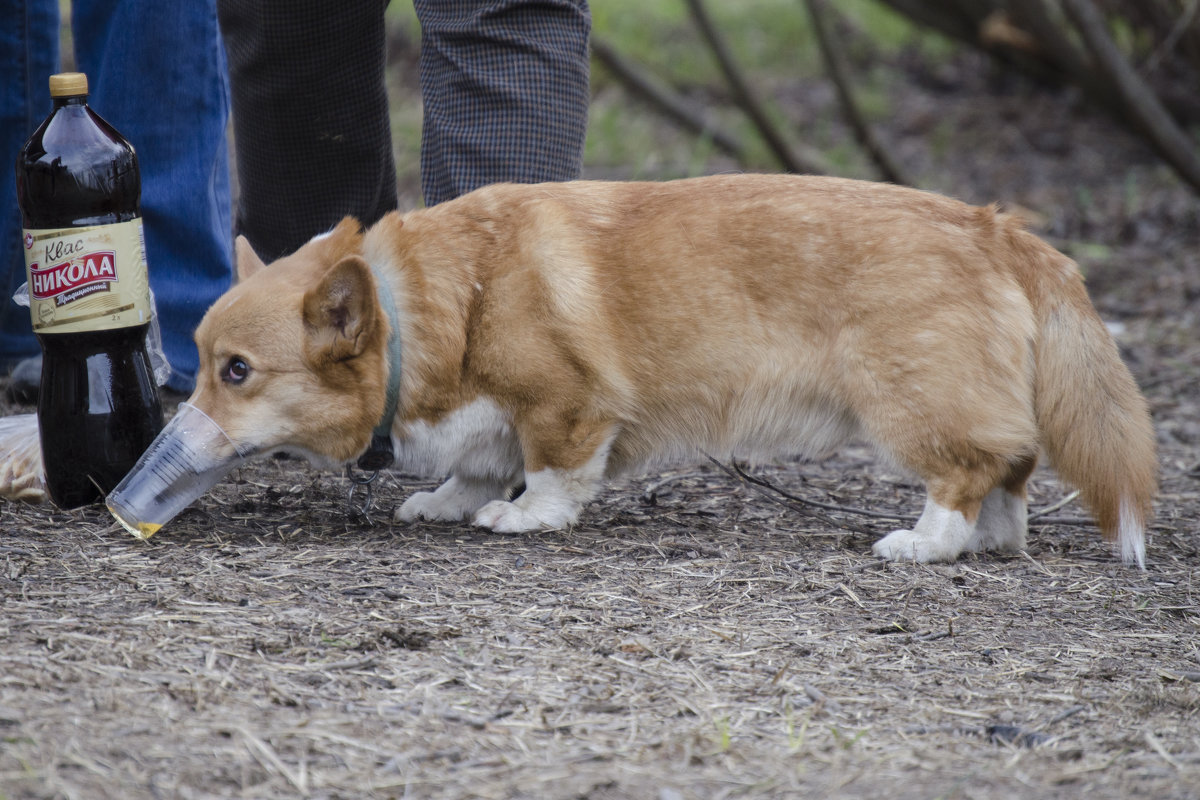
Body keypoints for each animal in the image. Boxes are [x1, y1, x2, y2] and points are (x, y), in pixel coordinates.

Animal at [187, 175, 1152, 563]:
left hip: (908, 402)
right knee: (1014, 468)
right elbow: (478, 460)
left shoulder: (566, 407)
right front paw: (450, 499)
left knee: (968, 470)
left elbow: (550, 470)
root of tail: (999, 228)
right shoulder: (489, 414)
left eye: (235, 372)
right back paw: (992, 539)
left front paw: (526, 517)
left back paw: (929, 541)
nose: (176, 441)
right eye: (202, 363)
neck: (426, 305)